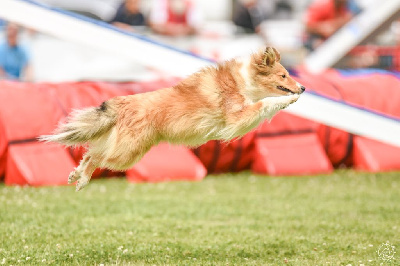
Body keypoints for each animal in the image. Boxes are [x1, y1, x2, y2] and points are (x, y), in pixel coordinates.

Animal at [39, 46, 304, 190]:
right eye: (283, 75)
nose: (302, 88)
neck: (243, 81)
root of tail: (122, 103)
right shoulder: (236, 119)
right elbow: (264, 103)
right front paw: (288, 100)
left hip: (127, 148)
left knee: (90, 152)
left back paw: (75, 174)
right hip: (128, 153)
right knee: (95, 156)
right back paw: (82, 179)